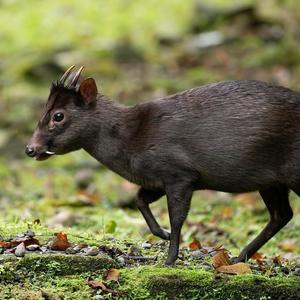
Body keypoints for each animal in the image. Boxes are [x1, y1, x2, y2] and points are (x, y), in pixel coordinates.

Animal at [26, 65, 298, 264]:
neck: (130, 142)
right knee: (282, 214)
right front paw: (162, 235)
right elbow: (139, 199)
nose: (30, 149)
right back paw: (239, 257)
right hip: (270, 181)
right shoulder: (157, 179)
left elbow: (177, 218)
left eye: (58, 115)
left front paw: (169, 259)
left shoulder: (180, 173)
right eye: (43, 111)